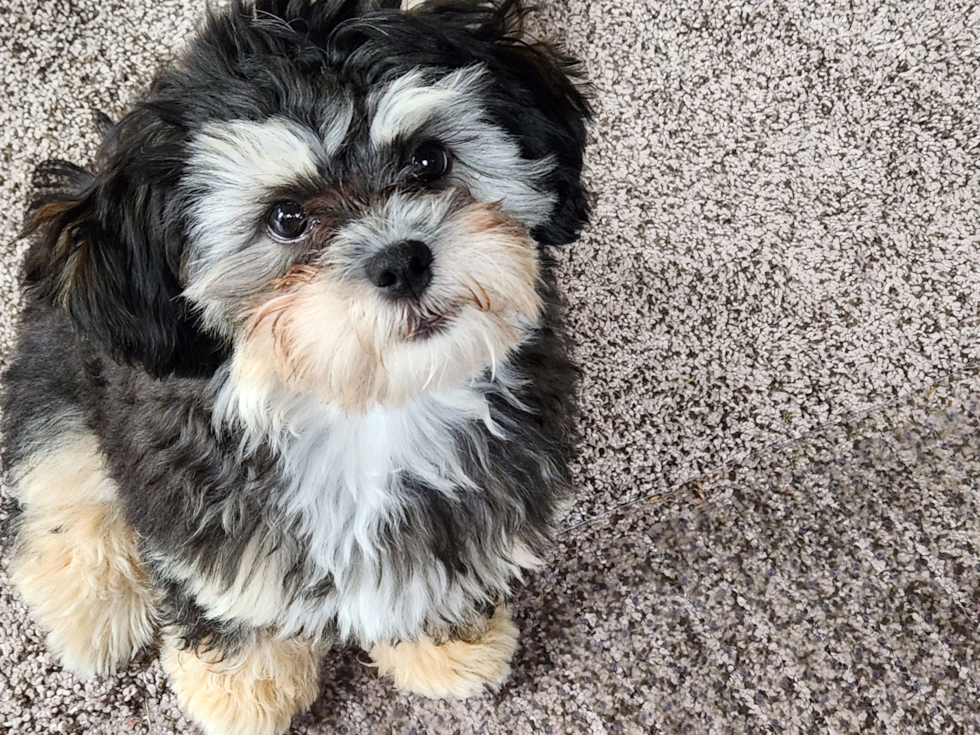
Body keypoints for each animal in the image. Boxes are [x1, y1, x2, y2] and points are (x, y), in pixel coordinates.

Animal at [1, 2, 588, 732]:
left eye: (429, 159)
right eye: (286, 217)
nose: (402, 262)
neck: (361, 407)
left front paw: (450, 648)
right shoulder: (200, 512)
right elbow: (234, 607)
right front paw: (243, 696)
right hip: (64, 366)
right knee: (61, 477)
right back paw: (93, 608)